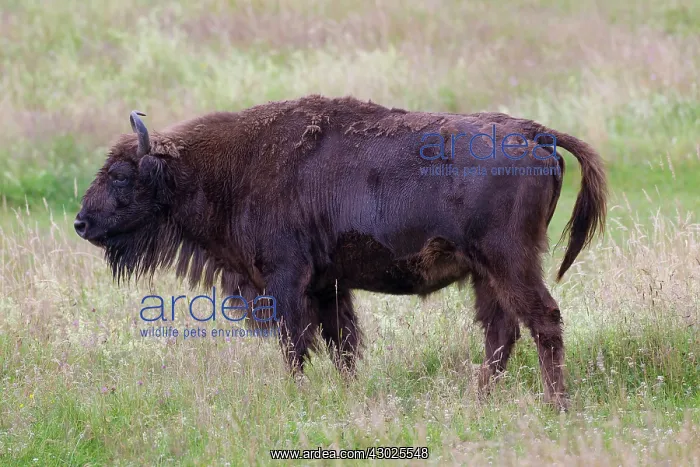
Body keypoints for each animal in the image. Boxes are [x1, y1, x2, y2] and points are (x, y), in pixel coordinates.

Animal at [75, 95, 607, 411]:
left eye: (120, 175)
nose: (82, 223)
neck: (227, 167)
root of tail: (537, 134)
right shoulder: (328, 285)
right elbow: (342, 345)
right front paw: (348, 394)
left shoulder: (286, 280)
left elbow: (296, 344)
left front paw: (297, 396)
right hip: (485, 273)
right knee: (502, 332)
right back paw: (479, 400)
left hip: (510, 262)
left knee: (543, 321)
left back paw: (556, 406)